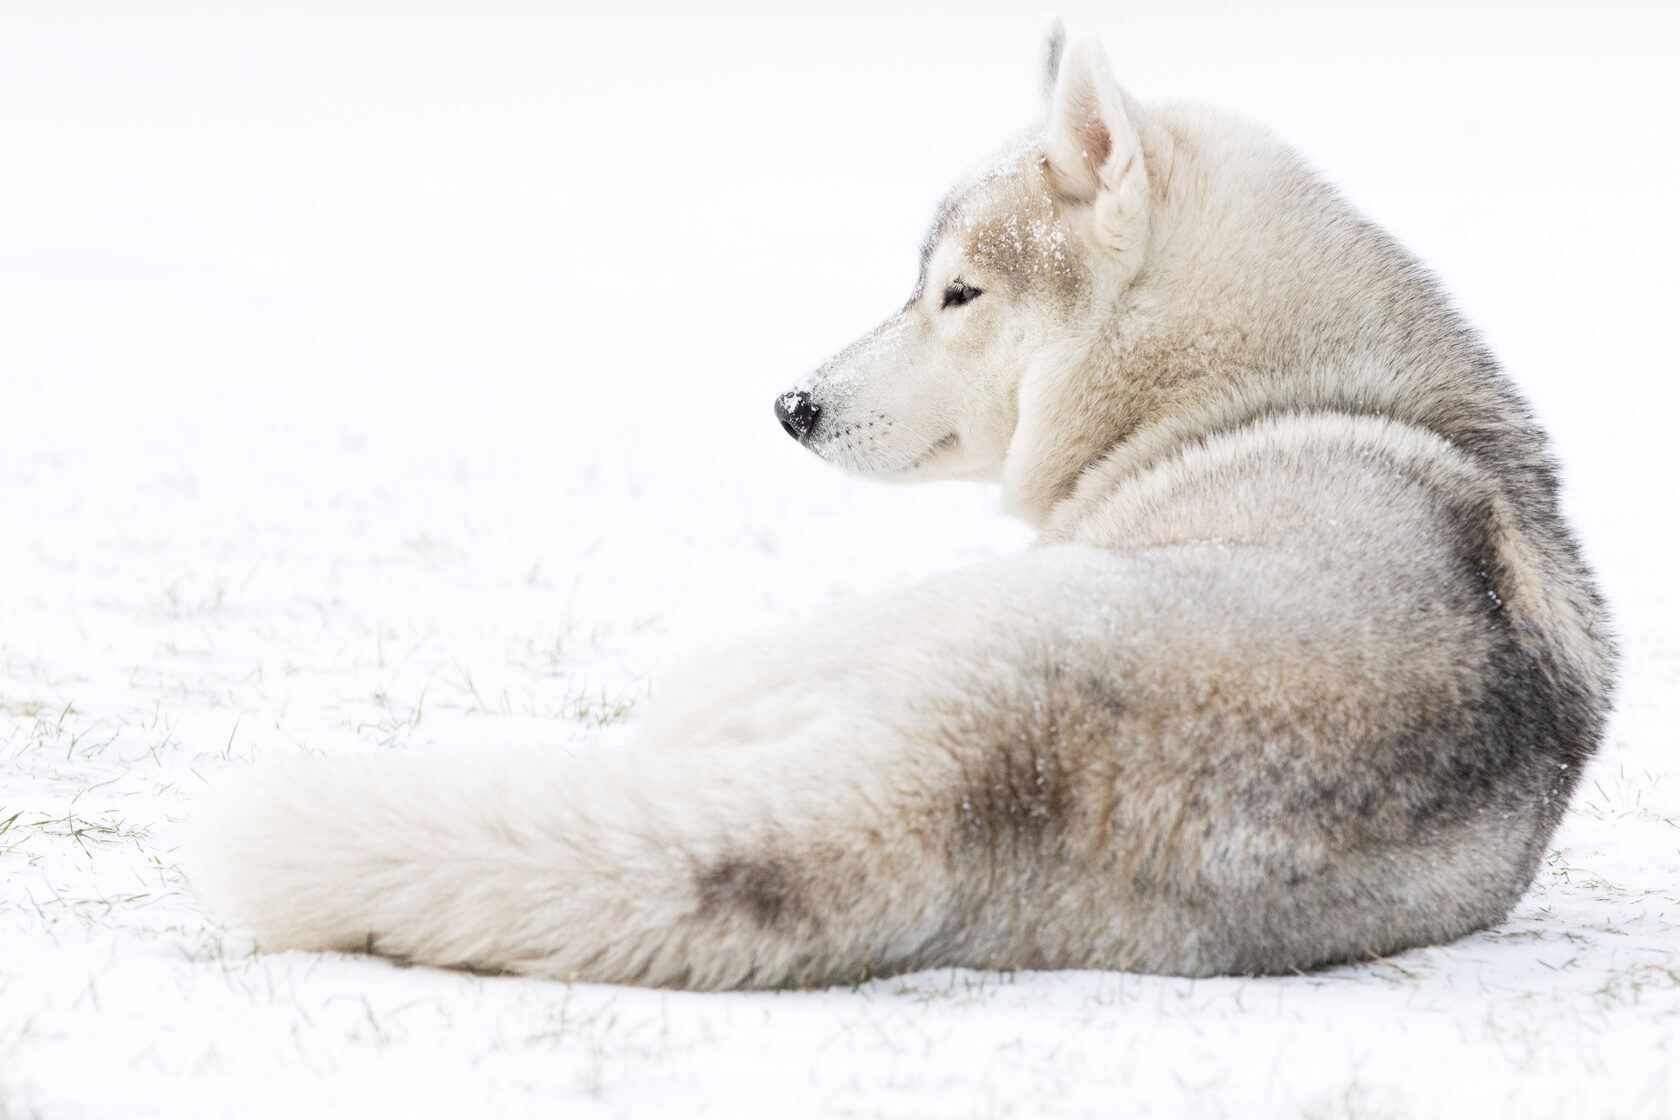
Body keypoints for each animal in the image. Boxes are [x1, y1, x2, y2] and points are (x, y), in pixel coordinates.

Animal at [193, 26, 1612, 987]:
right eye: (918, 281)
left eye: (961, 293)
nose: (791, 404)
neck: (1255, 390)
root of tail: (969, 773)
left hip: (776, 661)